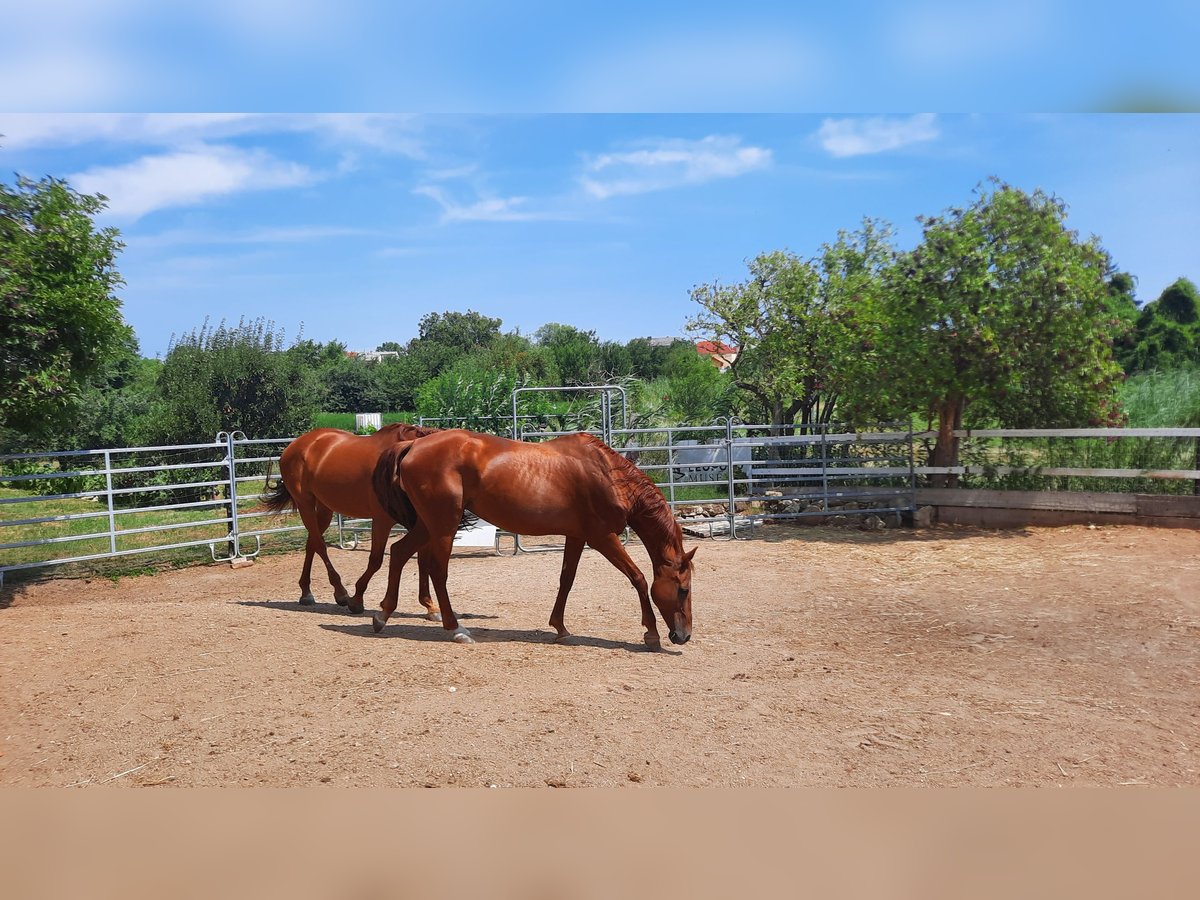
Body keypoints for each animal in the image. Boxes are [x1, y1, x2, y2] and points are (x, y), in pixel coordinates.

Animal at [262, 424, 446, 619]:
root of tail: (294, 446)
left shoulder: (420, 523)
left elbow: (423, 561)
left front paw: (430, 605)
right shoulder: (382, 520)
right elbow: (376, 560)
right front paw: (356, 600)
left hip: (324, 508)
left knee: (311, 543)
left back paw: (306, 593)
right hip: (305, 504)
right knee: (320, 545)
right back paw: (341, 593)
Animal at [372, 429, 696, 648]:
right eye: (683, 590)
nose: (683, 636)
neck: (608, 474)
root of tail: (412, 444)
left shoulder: (576, 537)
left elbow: (567, 580)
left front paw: (560, 628)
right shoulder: (603, 538)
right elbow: (638, 578)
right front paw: (651, 633)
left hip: (430, 524)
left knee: (398, 552)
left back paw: (383, 615)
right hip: (443, 527)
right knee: (438, 572)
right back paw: (456, 629)